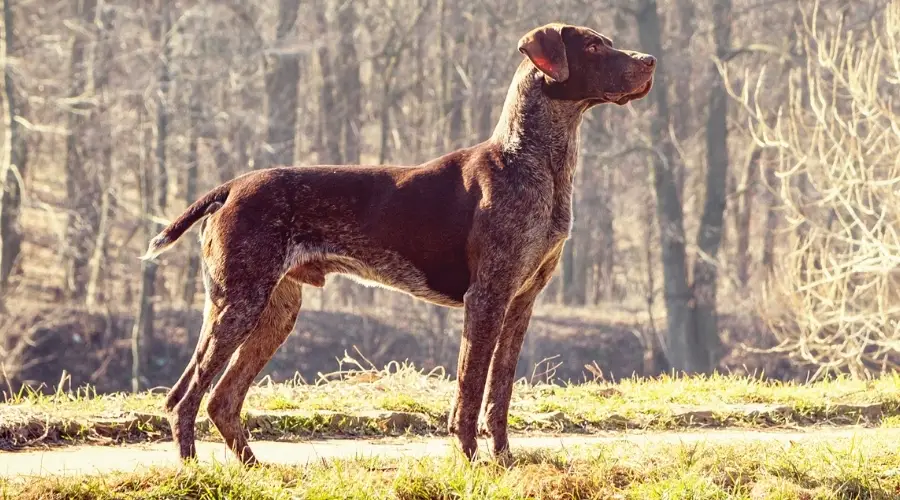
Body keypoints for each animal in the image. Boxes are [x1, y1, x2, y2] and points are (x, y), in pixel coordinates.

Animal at [142, 24, 652, 464]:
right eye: (592, 47)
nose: (649, 61)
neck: (531, 160)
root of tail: (230, 187)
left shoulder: (519, 304)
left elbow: (499, 395)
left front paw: (504, 460)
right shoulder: (486, 299)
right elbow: (469, 392)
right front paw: (471, 461)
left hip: (274, 311)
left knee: (220, 399)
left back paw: (253, 467)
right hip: (240, 304)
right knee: (186, 398)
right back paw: (193, 469)